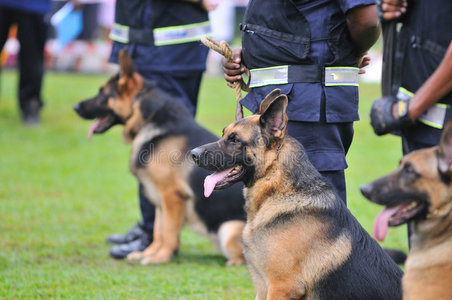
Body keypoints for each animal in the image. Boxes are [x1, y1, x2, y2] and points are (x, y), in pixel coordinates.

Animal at [73, 48, 247, 264]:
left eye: (102, 93)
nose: (75, 107)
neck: (148, 119)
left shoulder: (172, 196)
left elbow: (169, 232)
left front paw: (161, 257)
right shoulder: (160, 200)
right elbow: (159, 230)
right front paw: (149, 253)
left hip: (227, 231)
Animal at [191, 89, 402, 300]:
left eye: (234, 140)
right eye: (224, 134)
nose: (193, 154)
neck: (277, 188)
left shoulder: (282, 287)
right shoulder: (262, 287)